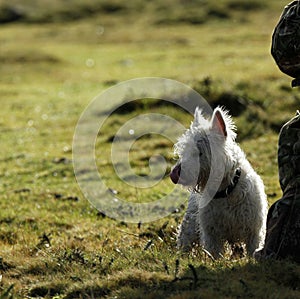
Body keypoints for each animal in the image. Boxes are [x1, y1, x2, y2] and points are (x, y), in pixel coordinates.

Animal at [171, 108, 268, 260]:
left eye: (200, 152)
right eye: (184, 151)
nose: (174, 174)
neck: (225, 191)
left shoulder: (254, 231)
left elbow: (253, 249)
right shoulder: (211, 233)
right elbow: (214, 253)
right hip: (190, 223)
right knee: (185, 239)